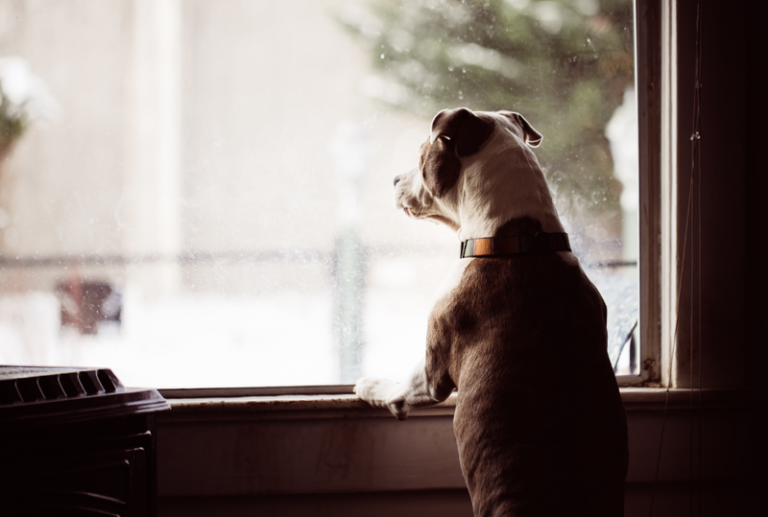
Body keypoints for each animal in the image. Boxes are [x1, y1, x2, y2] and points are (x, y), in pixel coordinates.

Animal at [356, 108, 628, 516]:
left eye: (421, 155)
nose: (394, 179)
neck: (517, 239)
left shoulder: (434, 369)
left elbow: (403, 386)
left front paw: (372, 385)